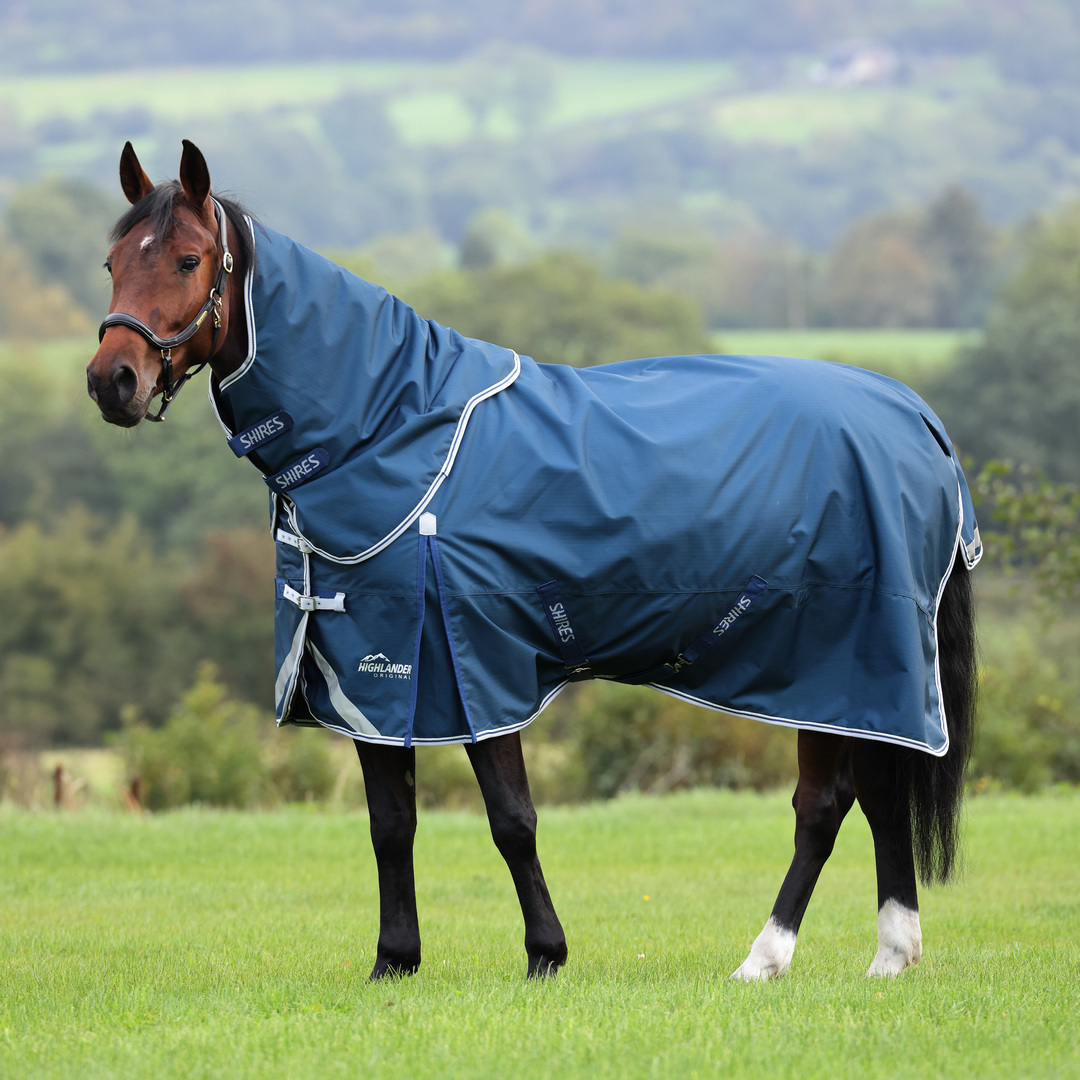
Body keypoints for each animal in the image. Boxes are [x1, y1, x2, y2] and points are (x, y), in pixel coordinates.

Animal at [87, 140, 979, 982]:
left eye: (188, 259)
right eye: (112, 261)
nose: (112, 380)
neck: (392, 428)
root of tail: (913, 415)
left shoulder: (476, 666)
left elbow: (511, 819)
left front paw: (545, 954)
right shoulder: (372, 682)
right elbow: (390, 825)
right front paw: (394, 960)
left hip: (841, 660)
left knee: (829, 804)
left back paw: (781, 956)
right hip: (836, 678)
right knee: (867, 800)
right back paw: (877, 954)